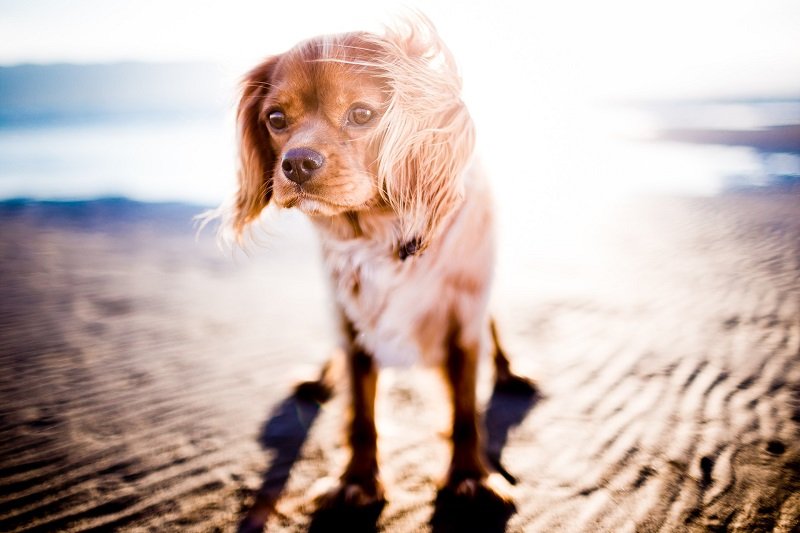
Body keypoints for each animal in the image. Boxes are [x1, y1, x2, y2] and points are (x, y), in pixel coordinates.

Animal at [217, 15, 536, 508]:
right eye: (276, 119)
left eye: (363, 114)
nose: (296, 164)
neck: (379, 233)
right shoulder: (351, 320)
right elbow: (361, 413)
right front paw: (357, 480)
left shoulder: (463, 318)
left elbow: (465, 409)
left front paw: (471, 478)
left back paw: (509, 372)